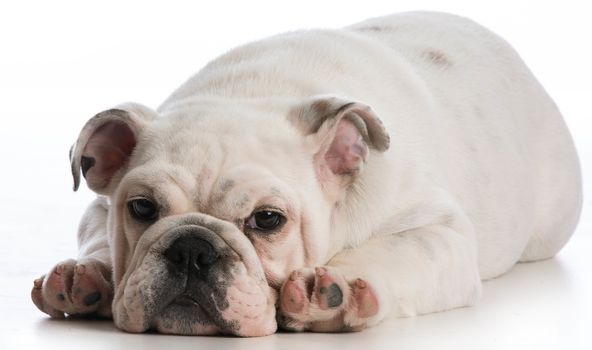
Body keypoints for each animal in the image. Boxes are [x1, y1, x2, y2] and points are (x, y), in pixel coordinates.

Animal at [30, 11, 580, 336]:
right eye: (142, 209)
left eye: (268, 220)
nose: (192, 248)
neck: (249, 95)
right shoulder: (98, 206)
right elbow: (99, 237)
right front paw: (88, 275)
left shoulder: (441, 233)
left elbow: (394, 251)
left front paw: (335, 289)